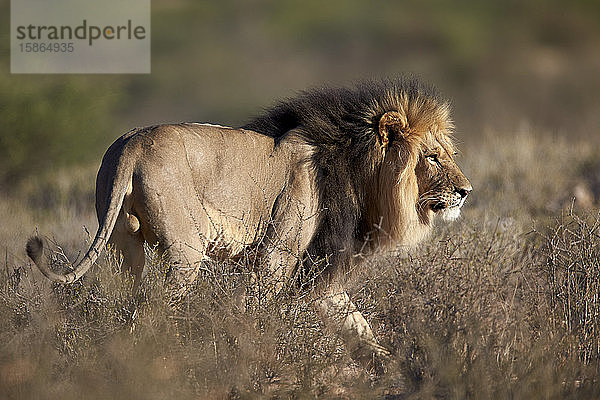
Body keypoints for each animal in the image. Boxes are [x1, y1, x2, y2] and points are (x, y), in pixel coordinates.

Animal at [27, 78, 468, 372]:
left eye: (446, 153)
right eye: (431, 157)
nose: (465, 191)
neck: (358, 171)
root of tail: (130, 146)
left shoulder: (318, 273)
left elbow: (357, 324)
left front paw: (392, 366)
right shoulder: (276, 258)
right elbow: (258, 314)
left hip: (125, 249)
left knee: (128, 303)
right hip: (186, 253)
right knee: (156, 310)